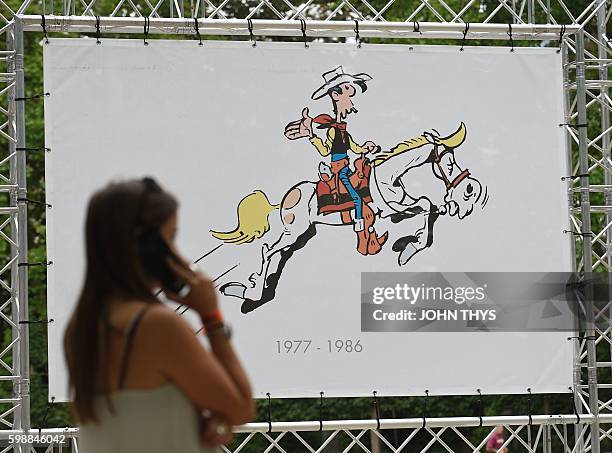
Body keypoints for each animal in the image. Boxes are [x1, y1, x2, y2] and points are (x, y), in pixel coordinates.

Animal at [213, 123, 486, 314]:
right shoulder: (391, 208)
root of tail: (283, 200)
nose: (469, 190)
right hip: (294, 231)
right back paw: (252, 293)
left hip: (303, 234)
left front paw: (408, 244)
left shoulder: (400, 208)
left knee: (281, 255)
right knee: (267, 250)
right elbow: (427, 204)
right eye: (448, 163)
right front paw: (409, 248)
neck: (389, 176)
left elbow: (429, 206)